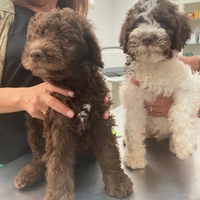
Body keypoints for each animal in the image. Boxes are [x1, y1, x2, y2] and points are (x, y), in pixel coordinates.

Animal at [14, 7, 133, 200]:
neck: (75, 83)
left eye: (63, 37)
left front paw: (117, 180)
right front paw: (58, 194)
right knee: (40, 155)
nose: (35, 53)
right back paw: (30, 172)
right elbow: (58, 163)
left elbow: (109, 151)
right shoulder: (58, 125)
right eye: (32, 37)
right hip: (32, 122)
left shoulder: (101, 119)